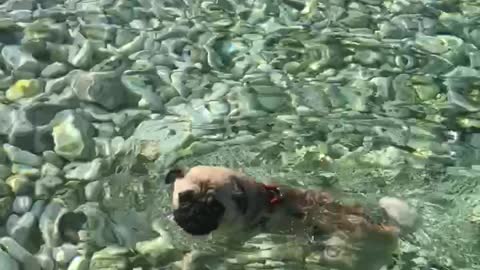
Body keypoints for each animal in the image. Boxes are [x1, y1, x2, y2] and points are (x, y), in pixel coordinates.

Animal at [166, 166, 420, 268]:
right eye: (184, 198)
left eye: (215, 208)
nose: (194, 212)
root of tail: (386, 228)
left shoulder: (231, 242)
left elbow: (201, 254)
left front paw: (189, 260)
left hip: (337, 248)